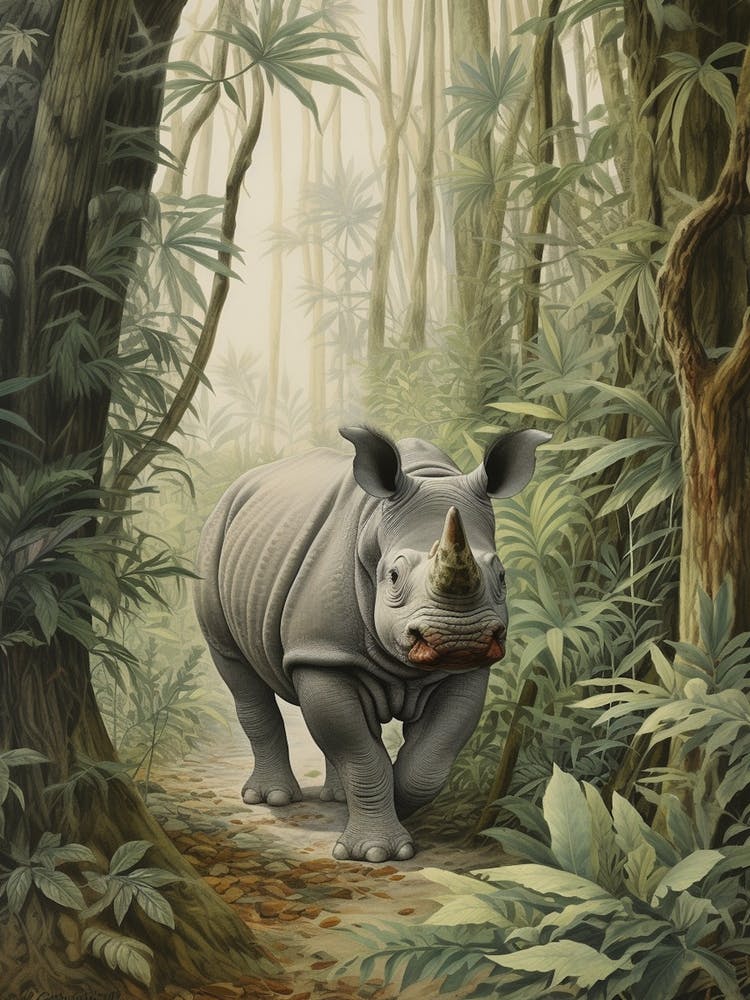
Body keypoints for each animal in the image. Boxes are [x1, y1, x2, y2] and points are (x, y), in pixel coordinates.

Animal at [194, 425, 549, 862]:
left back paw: (335, 798)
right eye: (393, 576)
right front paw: (375, 853)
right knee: (237, 669)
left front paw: (396, 801)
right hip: (216, 537)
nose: (459, 639)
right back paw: (272, 799)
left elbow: (430, 757)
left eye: (501, 575)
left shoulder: (468, 670)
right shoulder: (321, 651)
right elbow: (359, 752)